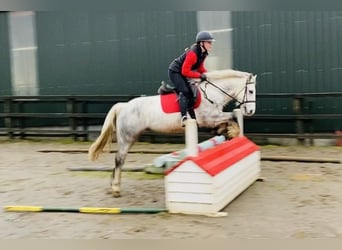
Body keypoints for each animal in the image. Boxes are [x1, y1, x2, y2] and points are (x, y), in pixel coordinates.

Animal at [88, 69, 256, 197]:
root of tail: (123, 106)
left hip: (131, 136)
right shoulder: (208, 118)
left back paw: (113, 185)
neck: (212, 93)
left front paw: (228, 133)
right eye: (251, 91)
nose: (251, 111)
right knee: (119, 159)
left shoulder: (210, 120)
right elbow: (232, 116)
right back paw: (116, 188)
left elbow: (226, 122)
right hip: (127, 137)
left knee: (119, 160)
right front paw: (233, 131)